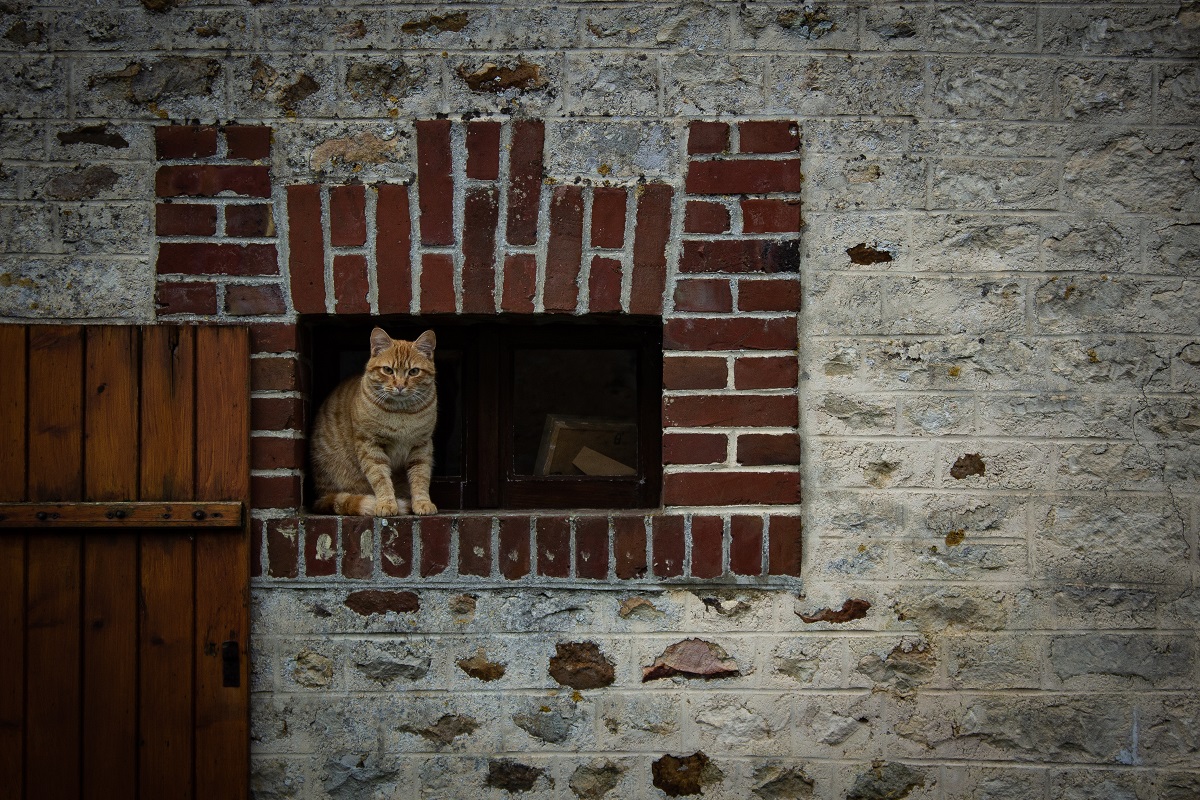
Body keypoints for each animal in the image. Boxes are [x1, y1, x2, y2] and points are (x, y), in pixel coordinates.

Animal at [312, 328, 439, 515]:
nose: (400, 386)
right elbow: (380, 478)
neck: (401, 412)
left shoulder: (421, 446)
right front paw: (386, 504)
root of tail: (321, 497)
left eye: (414, 372)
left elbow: (420, 477)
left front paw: (422, 503)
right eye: (387, 370)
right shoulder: (370, 446)